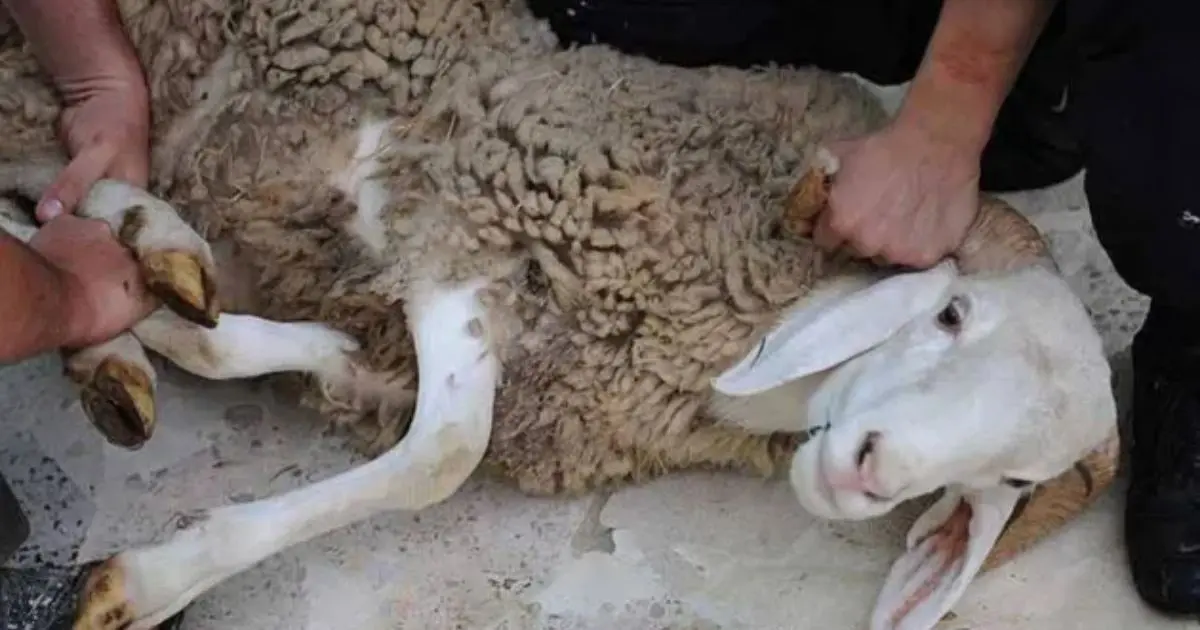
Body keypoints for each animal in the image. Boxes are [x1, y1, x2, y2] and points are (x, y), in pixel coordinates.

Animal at [0, 1, 1120, 629]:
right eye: (952, 314)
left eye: (1017, 481)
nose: (867, 473)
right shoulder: (470, 208)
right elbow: (445, 453)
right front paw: (146, 579)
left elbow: (387, 404)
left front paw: (233, 340)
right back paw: (145, 237)